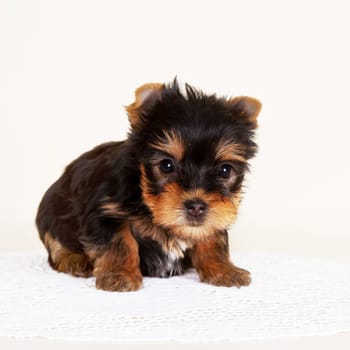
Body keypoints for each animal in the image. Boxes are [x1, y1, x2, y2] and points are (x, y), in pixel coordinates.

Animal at [35, 80, 262, 292]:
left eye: (225, 170)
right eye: (166, 165)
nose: (197, 206)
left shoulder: (215, 218)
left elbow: (213, 239)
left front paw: (224, 270)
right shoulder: (105, 210)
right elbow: (119, 242)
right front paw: (120, 275)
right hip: (50, 213)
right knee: (55, 245)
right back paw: (75, 260)